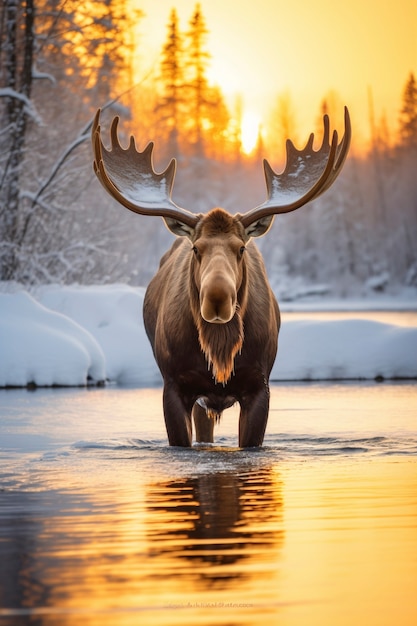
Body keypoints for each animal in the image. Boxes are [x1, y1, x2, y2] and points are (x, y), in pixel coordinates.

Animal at [92, 109, 350, 446]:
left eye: (240, 248)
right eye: (196, 248)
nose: (217, 298)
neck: (220, 350)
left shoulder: (259, 385)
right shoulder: (174, 384)